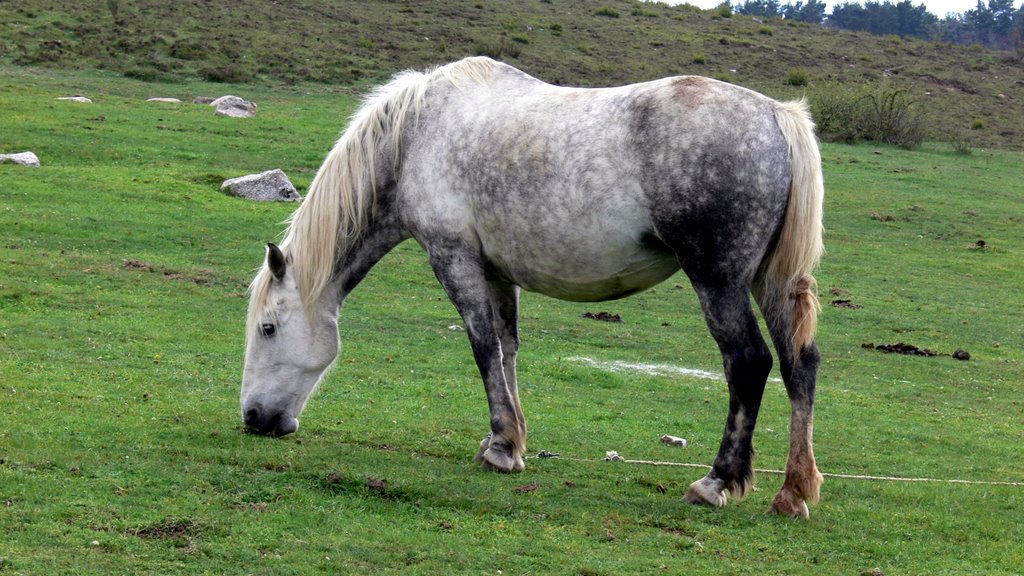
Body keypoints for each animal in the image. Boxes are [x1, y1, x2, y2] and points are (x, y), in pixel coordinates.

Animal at [243, 57, 827, 516]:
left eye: (268, 328)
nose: (252, 418)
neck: (413, 139)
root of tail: (777, 116)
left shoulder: (453, 257)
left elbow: (482, 347)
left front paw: (500, 447)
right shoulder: (497, 271)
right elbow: (507, 349)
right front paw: (509, 439)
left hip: (718, 281)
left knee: (748, 363)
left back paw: (717, 481)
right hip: (770, 282)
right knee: (799, 366)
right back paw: (792, 492)